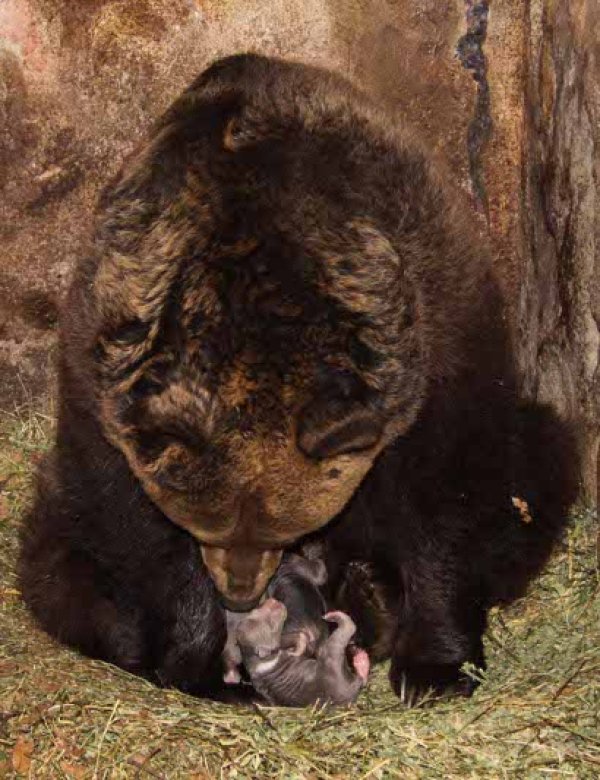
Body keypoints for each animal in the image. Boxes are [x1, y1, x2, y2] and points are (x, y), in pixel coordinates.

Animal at [18, 53, 580, 700]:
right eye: (207, 529)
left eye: (277, 532)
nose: (241, 593)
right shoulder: (103, 379)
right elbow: (133, 528)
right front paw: (201, 661)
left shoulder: (438, 336)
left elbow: (451, 494)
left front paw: (436, 665)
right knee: (62, 564)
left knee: (536, 469)